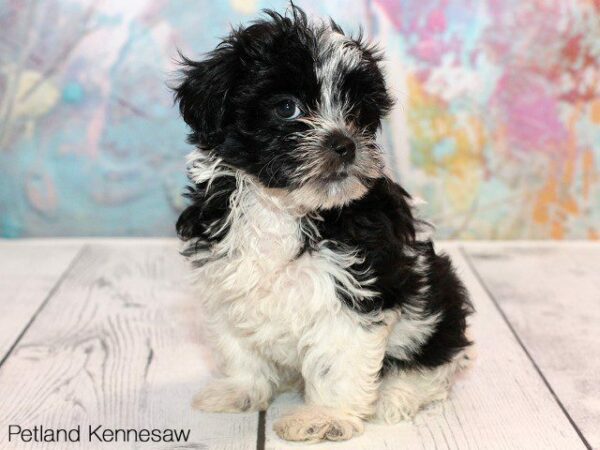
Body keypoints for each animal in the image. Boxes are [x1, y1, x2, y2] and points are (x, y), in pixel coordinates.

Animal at [173, 5, 474, 442]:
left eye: (357, 113)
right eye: (287, 108)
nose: (344, 143)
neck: (284, 208)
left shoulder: (353, 291)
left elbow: (337, 361)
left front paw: (325, 416)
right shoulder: (226, 276)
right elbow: (238, 345)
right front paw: (241, 389)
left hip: (437, 301)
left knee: (436, 361)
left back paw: (395, 394)